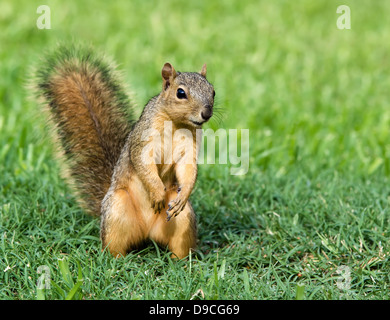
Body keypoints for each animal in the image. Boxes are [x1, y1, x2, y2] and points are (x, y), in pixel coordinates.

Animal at [35, 45, 215, 260]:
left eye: (213, 91)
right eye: (180, 93)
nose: (206, 113)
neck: (176, 124)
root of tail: (148, 233)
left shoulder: (189, 148)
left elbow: (187, 170)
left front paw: (185, 193)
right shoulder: (142, 141)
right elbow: (143, 163)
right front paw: (156, 192)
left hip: (182, 220)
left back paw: (182, 260)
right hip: (116, 210)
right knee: (113, 244)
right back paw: (114, 259)